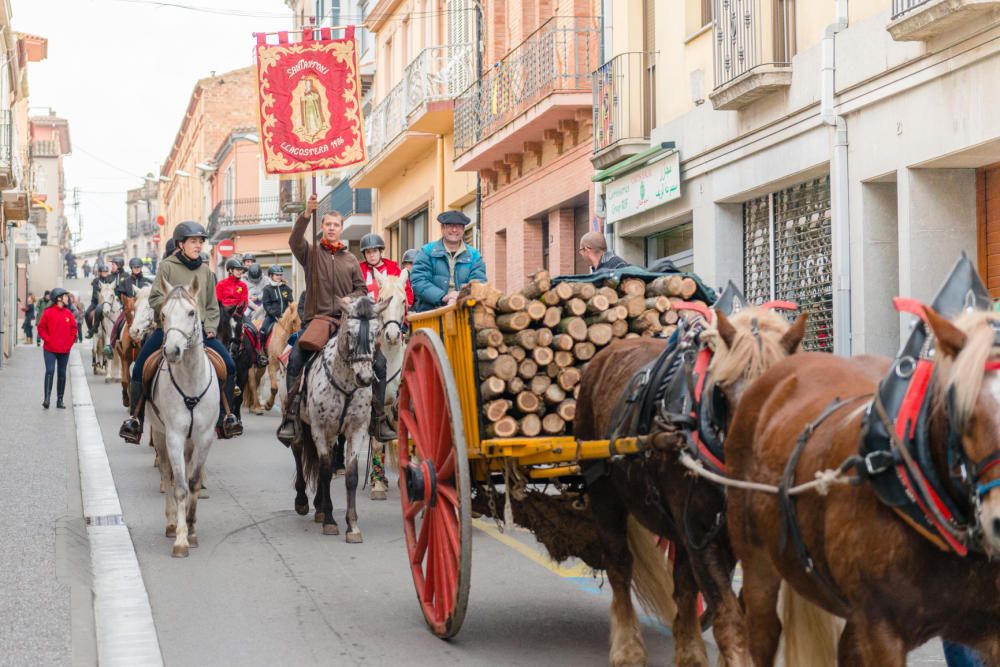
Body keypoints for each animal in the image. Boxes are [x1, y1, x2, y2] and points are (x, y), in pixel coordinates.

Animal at [292, 298, 386, 544]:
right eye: (350, 332)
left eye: (376, 332)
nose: (365, 378)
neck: (345, 382)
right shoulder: (319, 429)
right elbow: (325, 471)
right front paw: (330, 521)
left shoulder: (356, 429)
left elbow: (351, 475)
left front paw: (352, 526)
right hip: (302, 425)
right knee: (298, 451)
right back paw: (303, 501)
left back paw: (318, 506)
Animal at [576, 308, 808, 667]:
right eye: (723, 392)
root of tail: (603, 356)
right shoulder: (702, 536)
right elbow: (729, 618)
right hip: (605, 496)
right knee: (620, 568)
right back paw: (628, 649)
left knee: (683, 585)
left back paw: (690, 651)